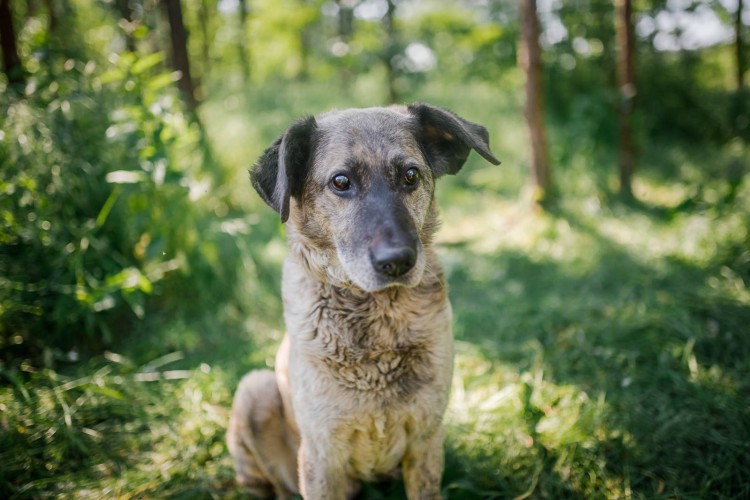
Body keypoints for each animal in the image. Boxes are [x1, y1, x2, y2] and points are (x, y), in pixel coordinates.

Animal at [229, 103, 500, 498]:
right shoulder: (320, 458)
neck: (377, 319)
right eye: (341, 182)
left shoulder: (426, 440)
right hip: (254, 390)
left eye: (410, 175)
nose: (398, 261)